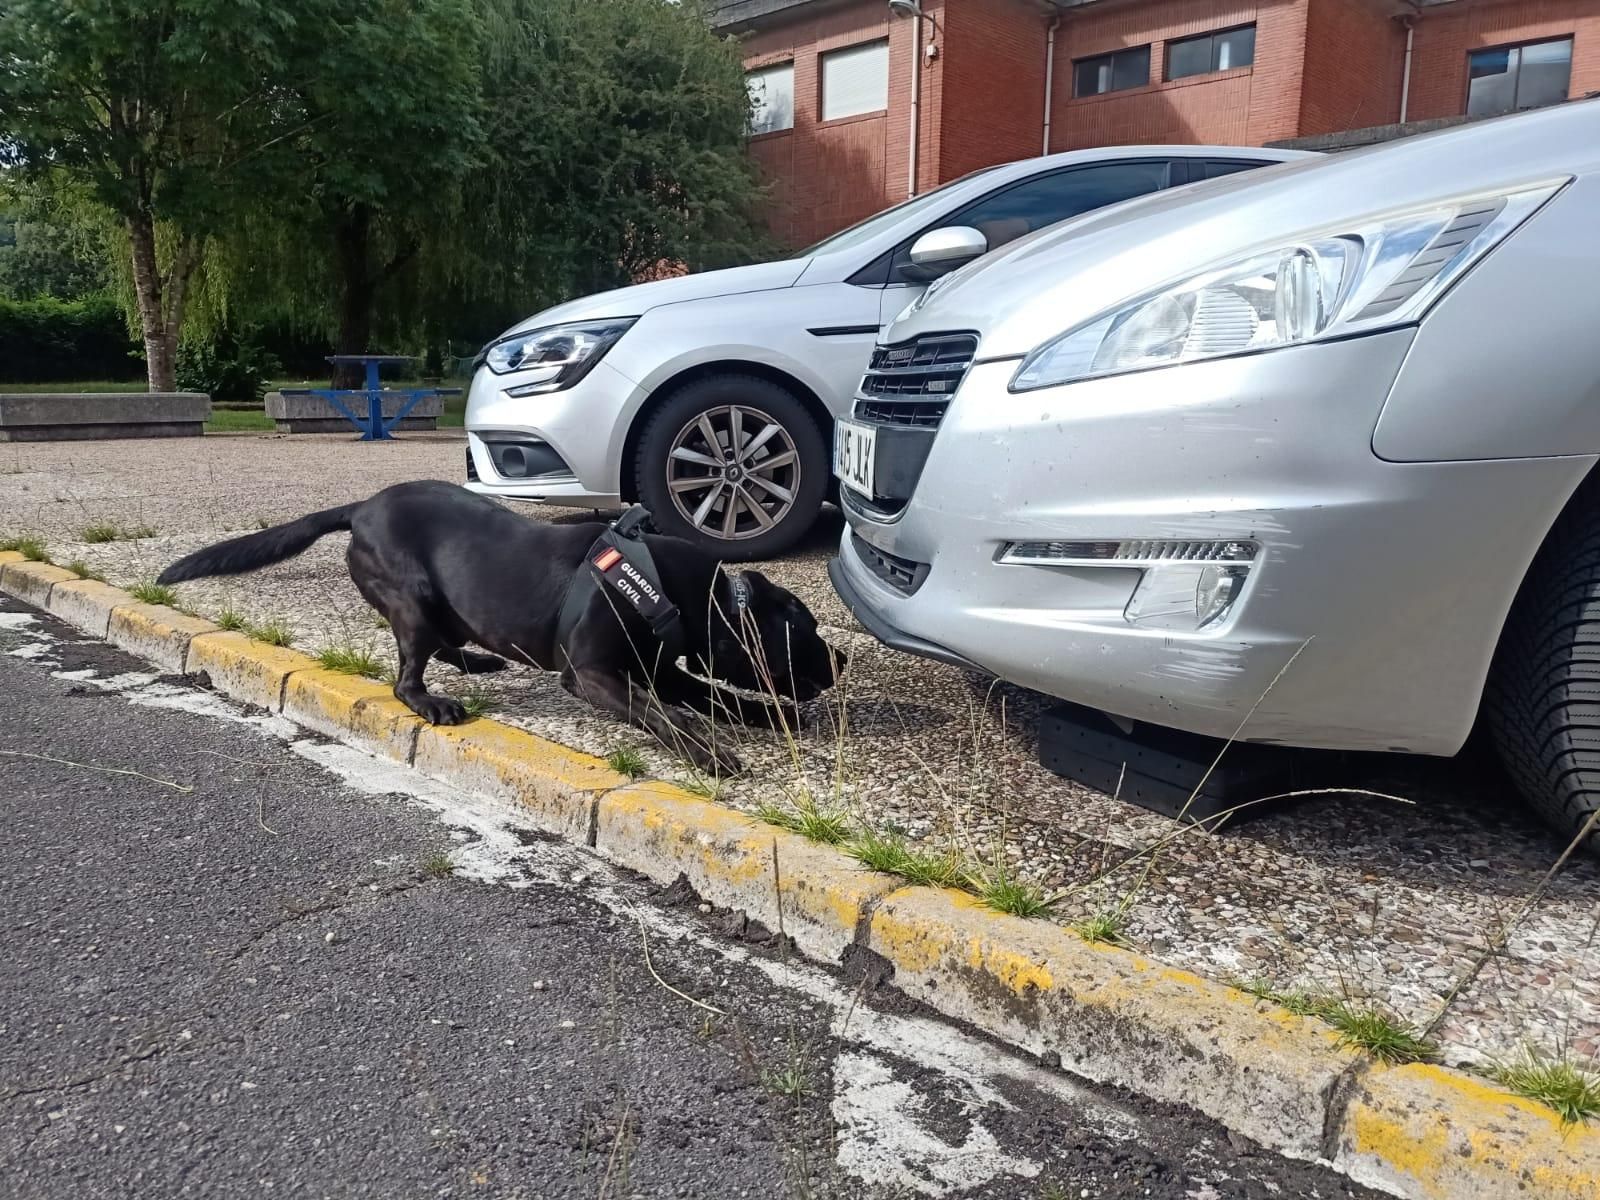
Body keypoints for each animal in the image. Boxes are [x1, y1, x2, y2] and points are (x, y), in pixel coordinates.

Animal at [156, 483, 844, 774]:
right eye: (807, 627)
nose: (840, 661)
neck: (678, 593)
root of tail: (360, 507)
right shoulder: (592, 674)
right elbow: (665, 715)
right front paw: (710, 753)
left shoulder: (660, 671)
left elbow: (710, 696)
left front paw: (766, 717)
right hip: (412, 594)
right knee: (406, 676)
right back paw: (435, 701)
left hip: (442, 608)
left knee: (446, 645)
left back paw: (482, 663)